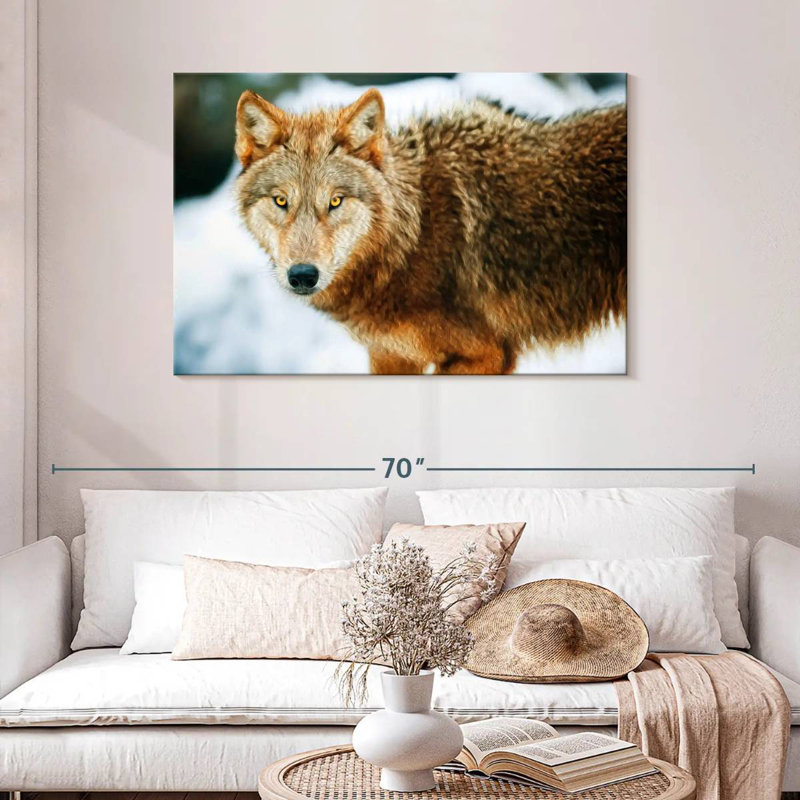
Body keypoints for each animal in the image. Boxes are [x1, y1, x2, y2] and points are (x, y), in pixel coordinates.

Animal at [234, 87, 626, 374]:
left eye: (335, 201)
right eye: (281, 201)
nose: (303, 275)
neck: (413, 235)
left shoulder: (487, 354)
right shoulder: (390, 356)